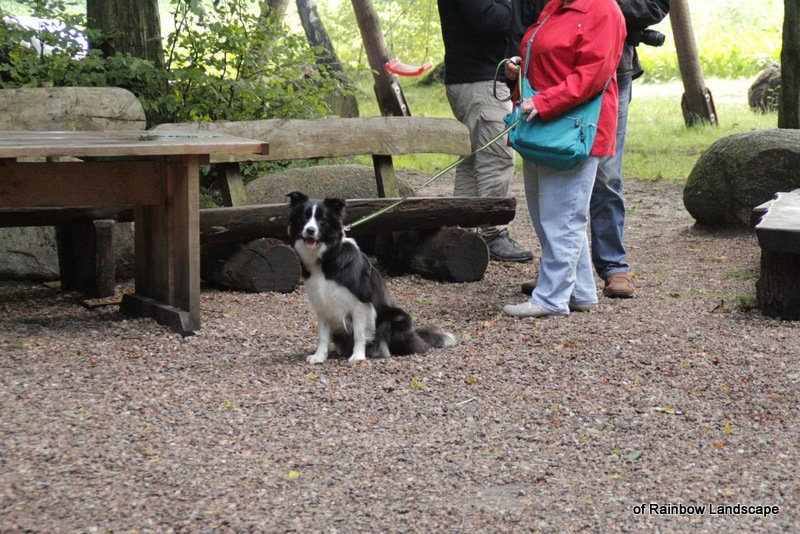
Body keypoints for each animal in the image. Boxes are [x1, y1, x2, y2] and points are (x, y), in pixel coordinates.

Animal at [287, 191, 457, 363]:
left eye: (322, 219)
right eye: (304, 217)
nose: (310, 230)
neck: (327, 258)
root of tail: (415, 334)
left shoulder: (360, 303)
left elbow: (359, 333)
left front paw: (358, 356)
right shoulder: (321, 304)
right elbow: (322, 335)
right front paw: (319, 356)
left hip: (395, 318)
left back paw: (380, 351)